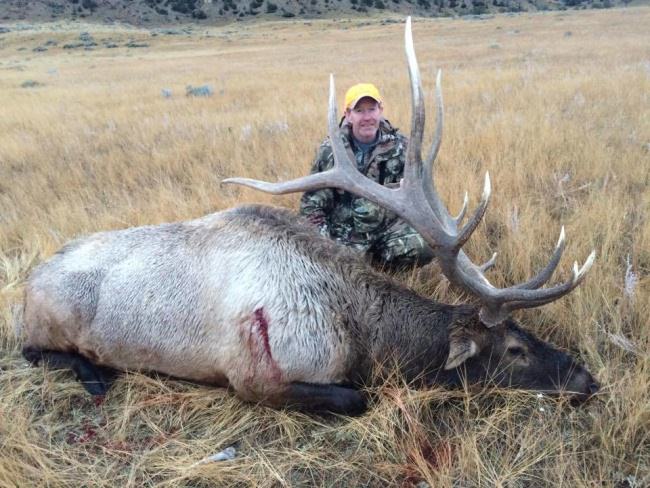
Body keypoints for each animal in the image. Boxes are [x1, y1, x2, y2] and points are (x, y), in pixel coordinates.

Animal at [21, 18, 598, 415]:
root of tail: (27, 284)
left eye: (526, 332)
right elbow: (358, 398)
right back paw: (95, 375)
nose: (587, 379)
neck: (359, 337)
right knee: (32, 351)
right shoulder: (255, 379)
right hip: (48, 325)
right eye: (515, 348)